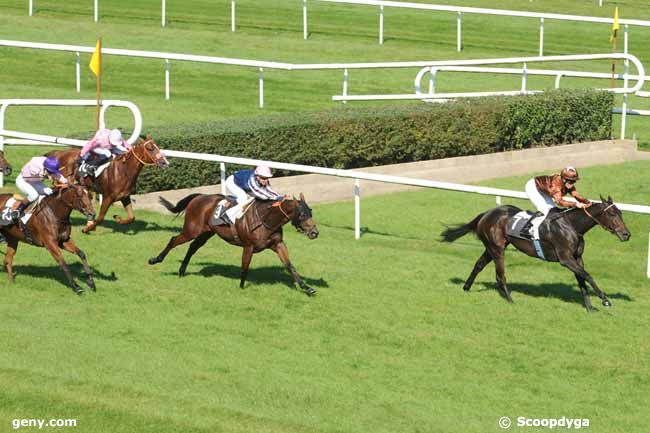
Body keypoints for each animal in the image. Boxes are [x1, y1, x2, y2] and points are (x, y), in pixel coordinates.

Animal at [147, 192, 318, 294]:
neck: (266, 219)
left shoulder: (278, 244)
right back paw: (155, 259)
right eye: (301, 214)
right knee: (174, 240)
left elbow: (289, 265)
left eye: (310, 211)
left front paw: (307, 287)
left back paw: (182, 271)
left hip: (206, 233)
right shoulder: (248, 246)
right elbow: (245, 267)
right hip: (191, 230)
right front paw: (242, 286)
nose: (314, 233)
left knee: (193, 247)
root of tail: (200, 196)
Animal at [438, 196, 632, 310]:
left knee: (478, 265)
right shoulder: (566, 259)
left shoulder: (577, 258)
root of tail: (486, 214)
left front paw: (589, 307)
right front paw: (605, 300)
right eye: (612, 214)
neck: (572, 225)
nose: (626, 234)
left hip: (491, 247)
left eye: (620, 213)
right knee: (500, 276)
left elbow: (582, 279)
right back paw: (511, 300)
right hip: (497, 248)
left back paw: (466, 287)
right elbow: (588, 275)